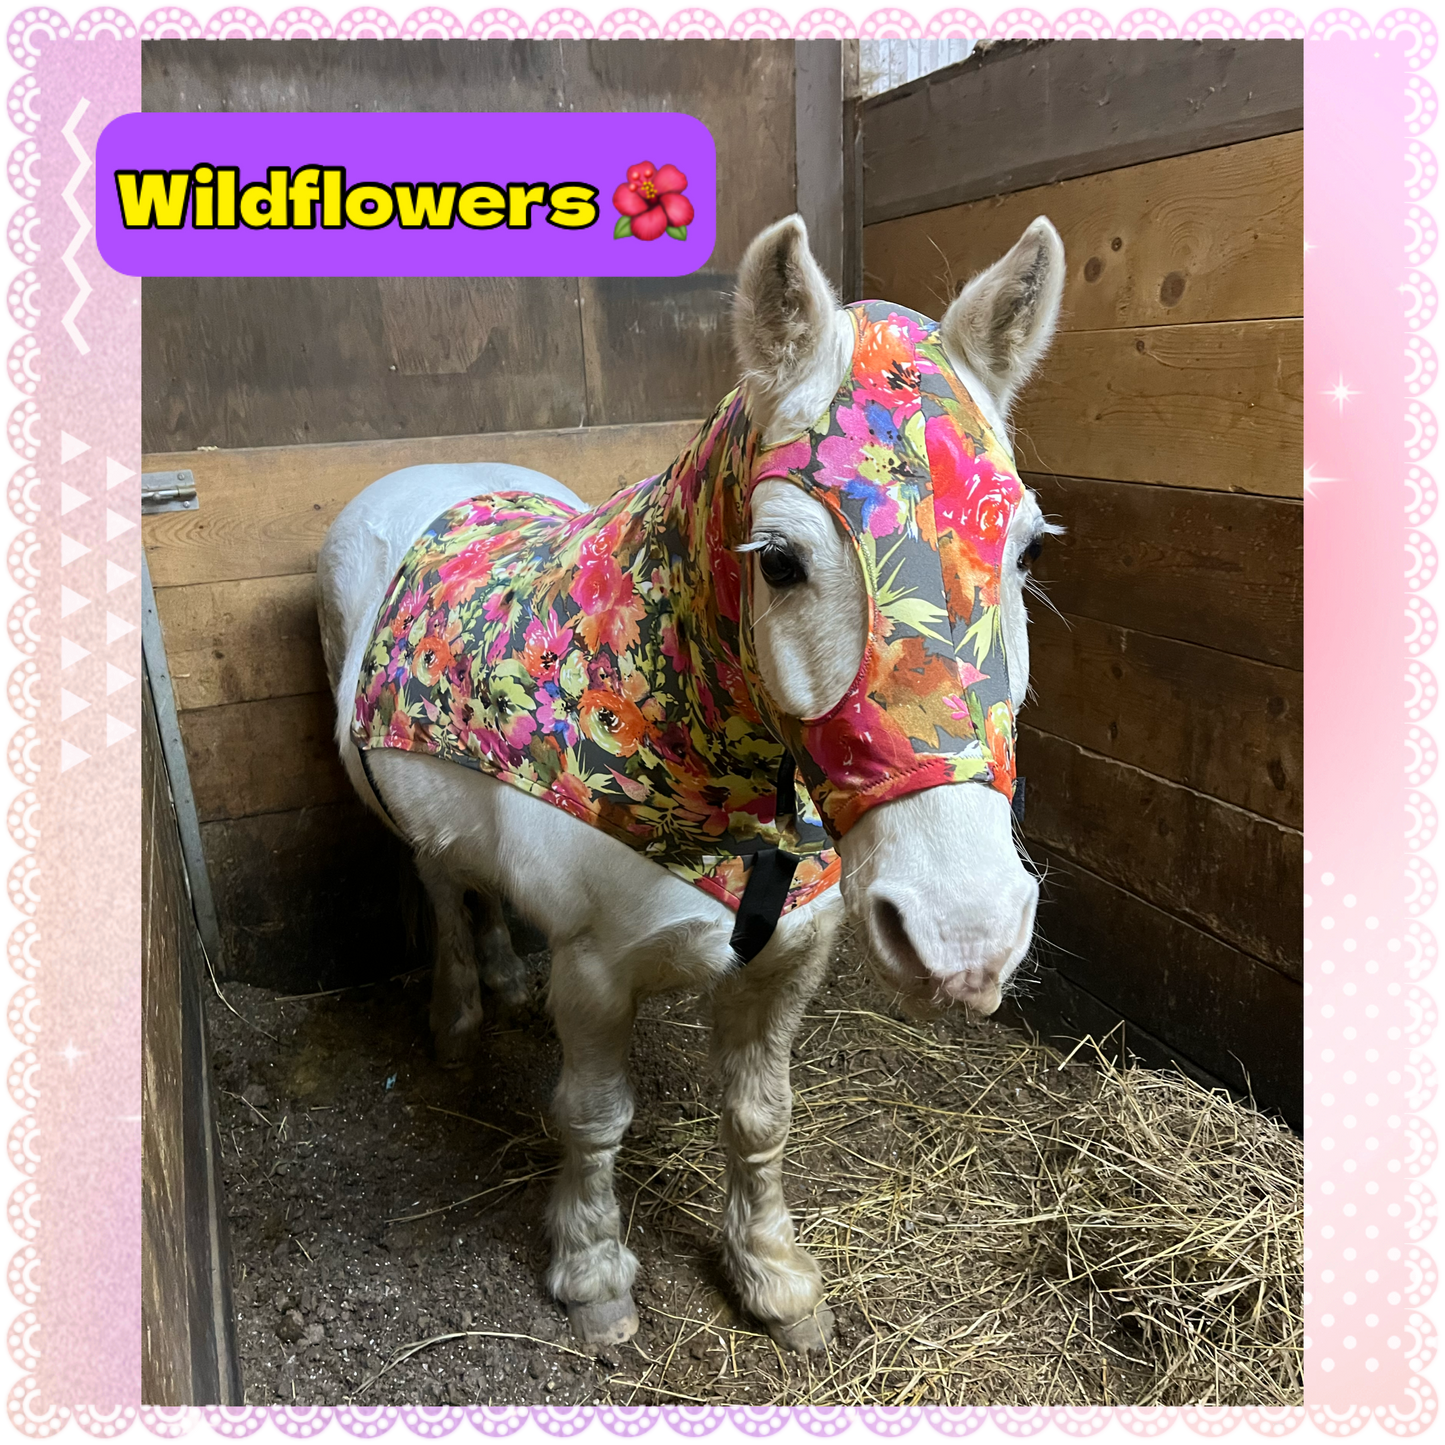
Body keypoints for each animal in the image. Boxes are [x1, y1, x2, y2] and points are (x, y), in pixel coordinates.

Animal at [315, 213, 1065, 1354]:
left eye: (1020, 548)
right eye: (780, 558)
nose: (963, 935)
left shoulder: (788, 960)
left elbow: (760, 1117)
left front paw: (772, 1276)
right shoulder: (594, 972)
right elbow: (592, 1119)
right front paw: (590, 1271)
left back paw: (502, 980)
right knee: (442, 888)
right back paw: (458, 1017)